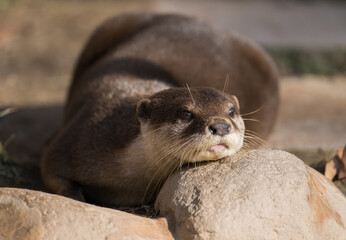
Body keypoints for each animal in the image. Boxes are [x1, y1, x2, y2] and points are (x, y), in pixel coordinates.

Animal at [41, 13, 278, 207]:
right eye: (186, 114)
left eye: (231, 111)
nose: (221, 126)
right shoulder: (73, 141)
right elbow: (52, 173)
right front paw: (76, 197)